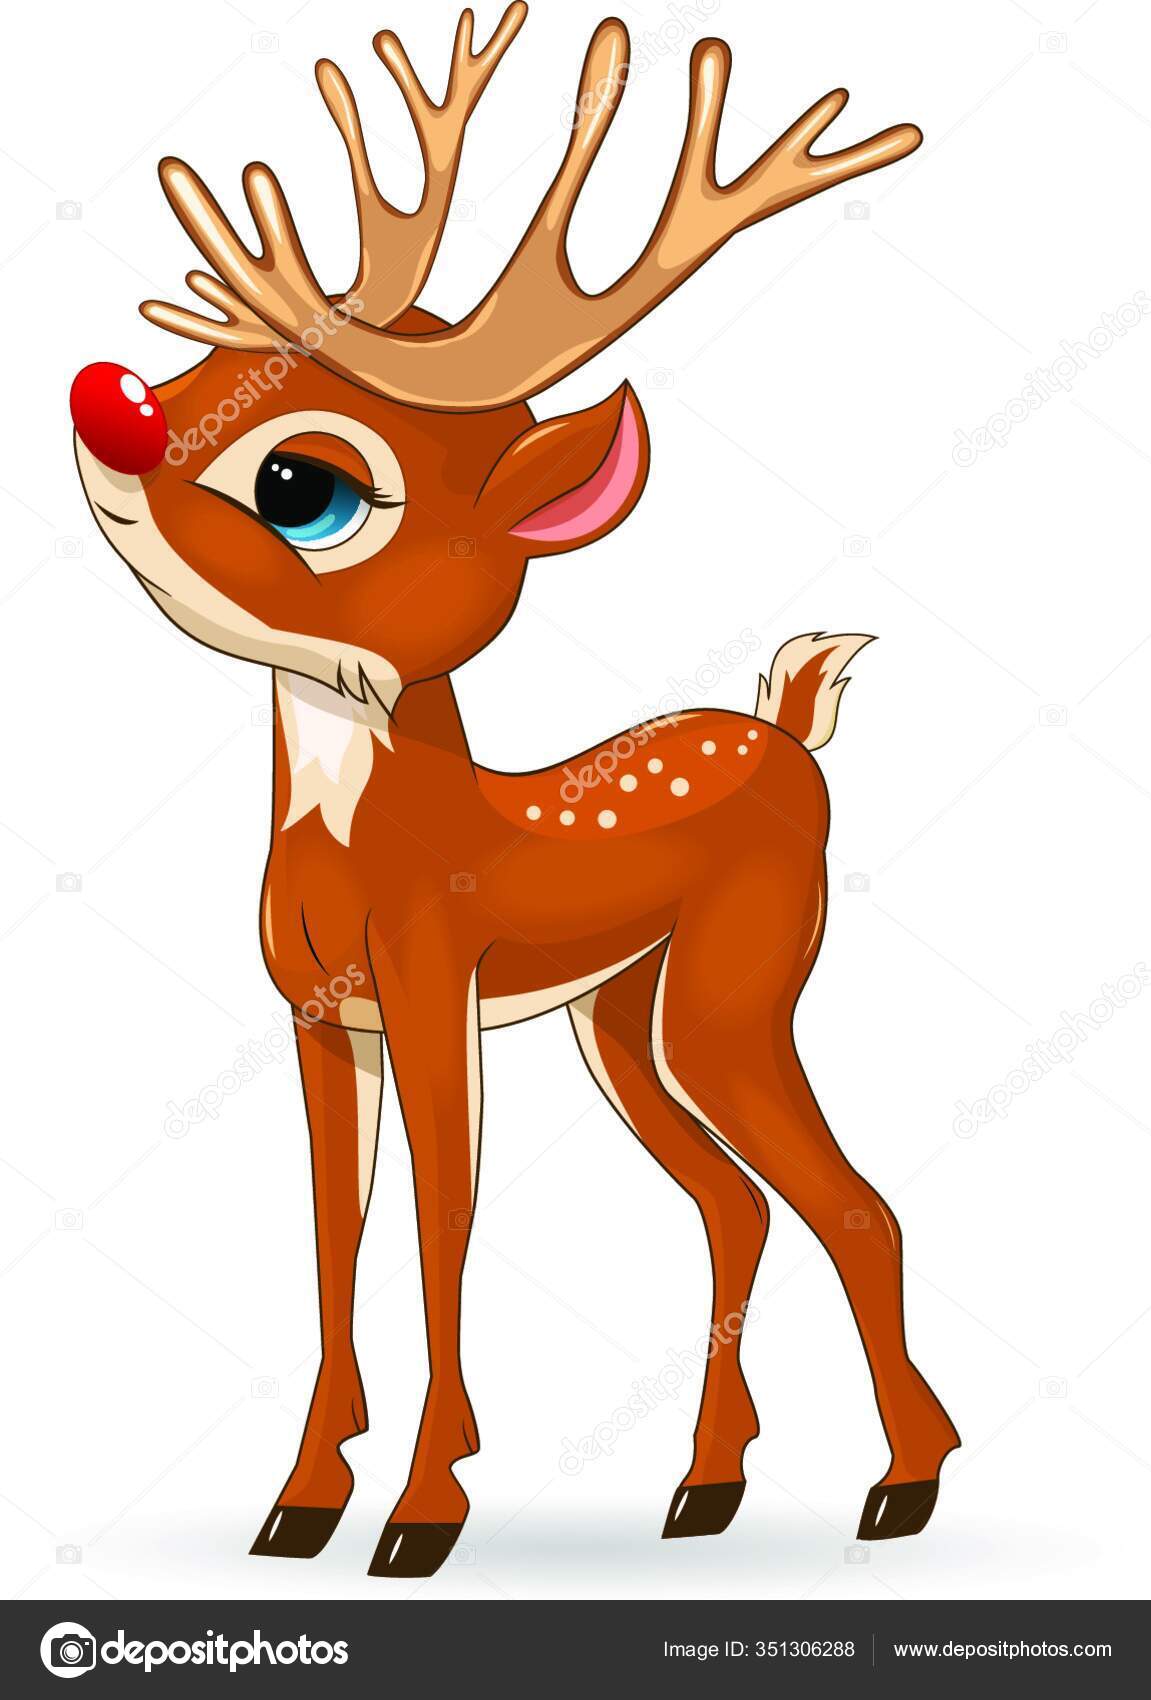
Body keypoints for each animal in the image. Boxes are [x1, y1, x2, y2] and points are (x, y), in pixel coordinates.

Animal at [70, 4, 959, 1580]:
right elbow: (331, 1236)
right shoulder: (316, 1016)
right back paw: (703, 1486)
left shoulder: (434, 987)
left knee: (853, 1206)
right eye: (199, 369)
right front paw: (302, 1502)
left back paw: (900, 1485)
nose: (100, 402)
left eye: (302, 483)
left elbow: (441, 1228)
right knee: (734, 1203)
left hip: (732, 992)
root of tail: (784, 732)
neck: (373, 847)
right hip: (620, 1016)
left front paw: (422, 1511)